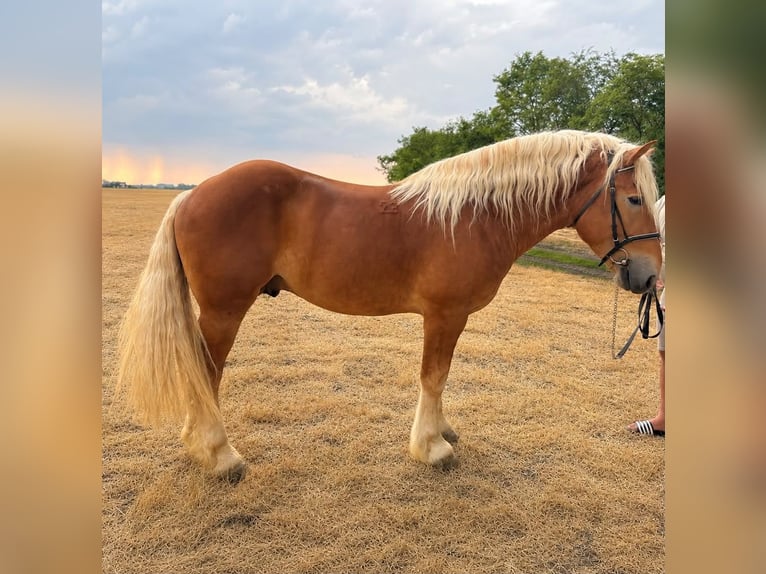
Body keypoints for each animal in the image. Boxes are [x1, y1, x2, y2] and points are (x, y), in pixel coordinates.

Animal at [118, 130, 662, 483]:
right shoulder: (444, 315)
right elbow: (433, 376)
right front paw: (432, 448)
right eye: (634, 199)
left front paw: (442, 431)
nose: (650, 275)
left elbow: (442, 377)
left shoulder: (451, 319)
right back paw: (220, 456)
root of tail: (191, 195)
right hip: (224, 311)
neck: (474, 216)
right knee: (206, 373)